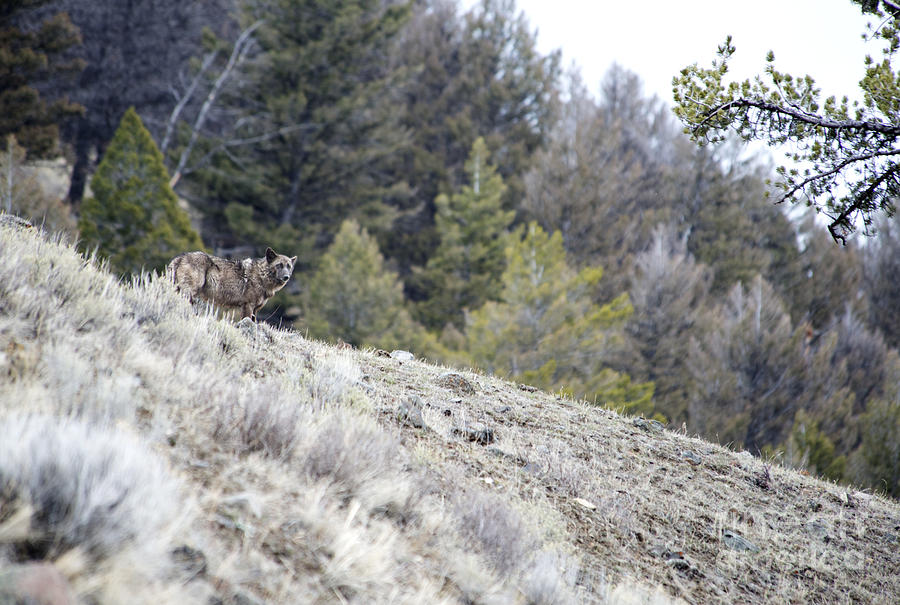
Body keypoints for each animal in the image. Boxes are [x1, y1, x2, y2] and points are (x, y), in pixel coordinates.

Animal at [168, 245, 296, 320]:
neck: (261, 276)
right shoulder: (248, 306)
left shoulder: (255, 309)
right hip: (189, 293)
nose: (286, 277)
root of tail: (180, 258)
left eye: (289, 266)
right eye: (279, 265)